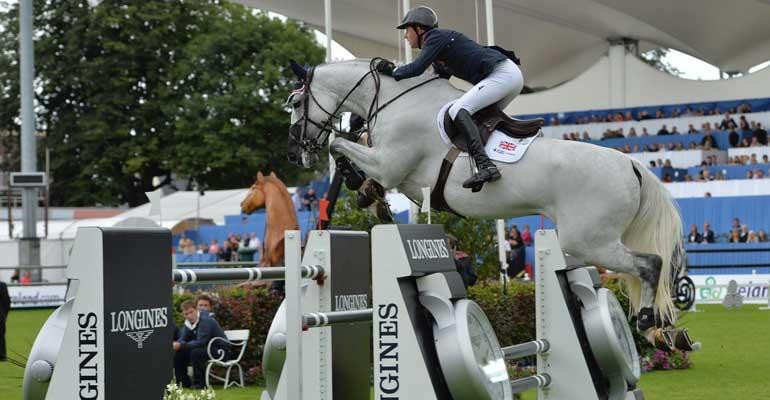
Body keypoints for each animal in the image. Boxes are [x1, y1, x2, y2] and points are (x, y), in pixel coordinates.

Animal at [284, 59, 680, 340]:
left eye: (298, 101)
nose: (294, 153)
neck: (396, 100)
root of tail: (631, 164)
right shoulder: (394, 171)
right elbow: (355, 150)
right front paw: (369, 194)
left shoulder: (389, 164)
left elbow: (339, 144)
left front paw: (355, 180)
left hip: (588, 240)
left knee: (650, 264)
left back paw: (648, 321)